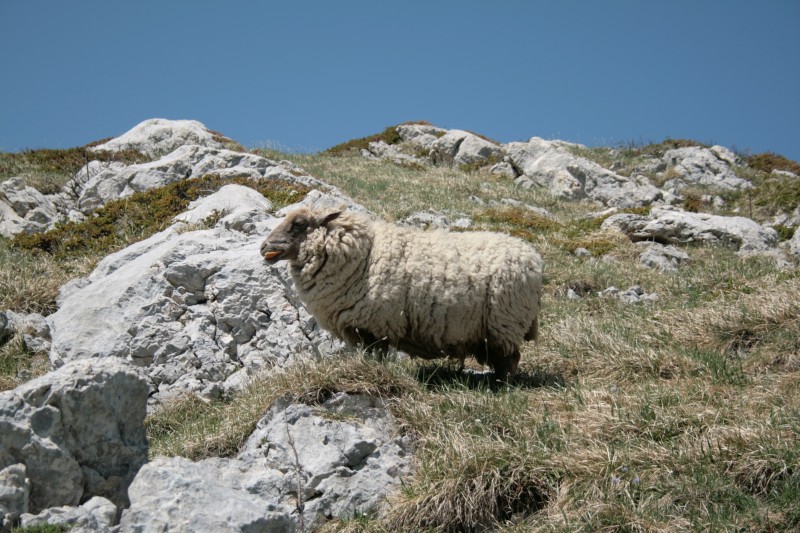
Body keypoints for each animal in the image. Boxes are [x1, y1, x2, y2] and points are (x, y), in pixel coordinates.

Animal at [262, 208, 544, 382]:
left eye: (299, 224)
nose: (264, 247)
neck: (363, 257)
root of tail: (534, 260)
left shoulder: (375, 324)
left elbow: (375, 354)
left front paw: (373, 371)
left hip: (506, 321)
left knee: (510, 359)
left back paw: (501, 386)